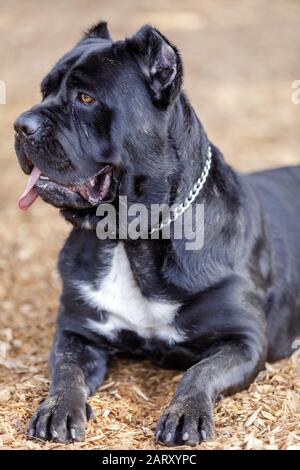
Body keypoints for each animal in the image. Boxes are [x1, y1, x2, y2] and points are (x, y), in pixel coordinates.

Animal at [14, 22, 300, 446]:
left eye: (85, 97)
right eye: (44, 91)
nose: (20, 124)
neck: (132, 238)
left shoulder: (244, 340)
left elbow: (200, 372)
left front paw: (185, 414)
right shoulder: (77, 333)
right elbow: (67, 371)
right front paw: (57, 409)